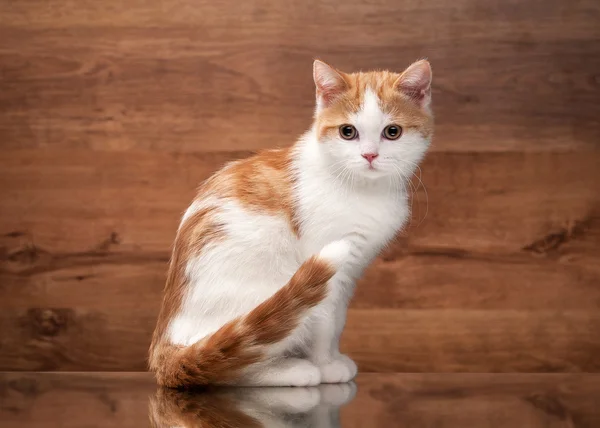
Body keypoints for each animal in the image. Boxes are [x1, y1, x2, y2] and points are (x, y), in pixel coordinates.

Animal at [148, 58, 434, 390]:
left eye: (393, 132)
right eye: (348, 132)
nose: (370, 155)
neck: (364, 188)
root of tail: (164, 350)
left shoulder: (350, 271)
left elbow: (338, 320)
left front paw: (334, 358)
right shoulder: (325, 262)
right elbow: (325, 321)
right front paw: (324, 365)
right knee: (231, 363)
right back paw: (290, 371)